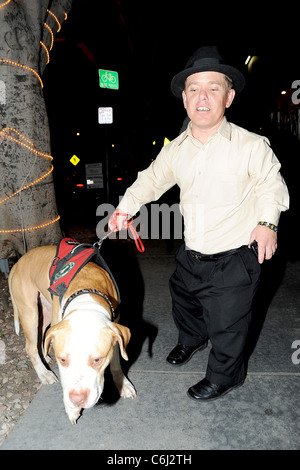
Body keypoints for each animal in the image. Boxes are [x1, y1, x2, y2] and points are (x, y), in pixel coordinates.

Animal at [8, 244, 137, 424]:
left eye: (97, 360)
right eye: (62, 360)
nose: (77, 400)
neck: (86, 296)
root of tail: (18, 263)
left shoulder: (116, 334)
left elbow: (116, 363)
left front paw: (123, 385)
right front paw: (72, 410)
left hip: (46, 311)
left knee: (43, 335)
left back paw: (45, 356)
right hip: (30, 313)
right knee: (30, 347)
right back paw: (44, 373)